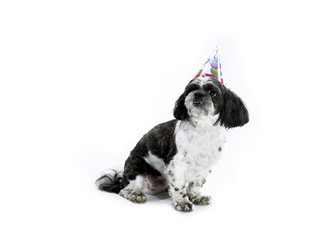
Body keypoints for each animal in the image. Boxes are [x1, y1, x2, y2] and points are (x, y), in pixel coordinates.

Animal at [96, 76, 249, 211]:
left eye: (213, 93)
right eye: (190, 90)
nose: (197, 94)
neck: (203, 129)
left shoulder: (205, 167)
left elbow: (196, 185)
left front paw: (197, 197)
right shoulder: (176, 165)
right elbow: (179, 186)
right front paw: (182, 202)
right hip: (137, 169)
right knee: (124, 189)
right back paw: (135, 195)